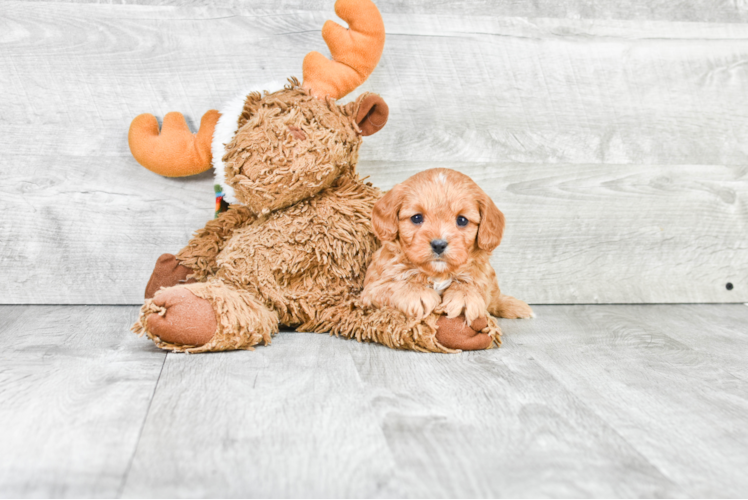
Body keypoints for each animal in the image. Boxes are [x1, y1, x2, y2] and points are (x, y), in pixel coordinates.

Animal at [360, 168, 532, 328]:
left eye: (462, 220)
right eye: (417, 218)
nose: (438, 244)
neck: (438, 274)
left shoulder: (482, 273)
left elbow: (474, 283)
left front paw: (464, 296)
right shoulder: (370, 290)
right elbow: (393, 284)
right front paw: (417, 292)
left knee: (495, 298)